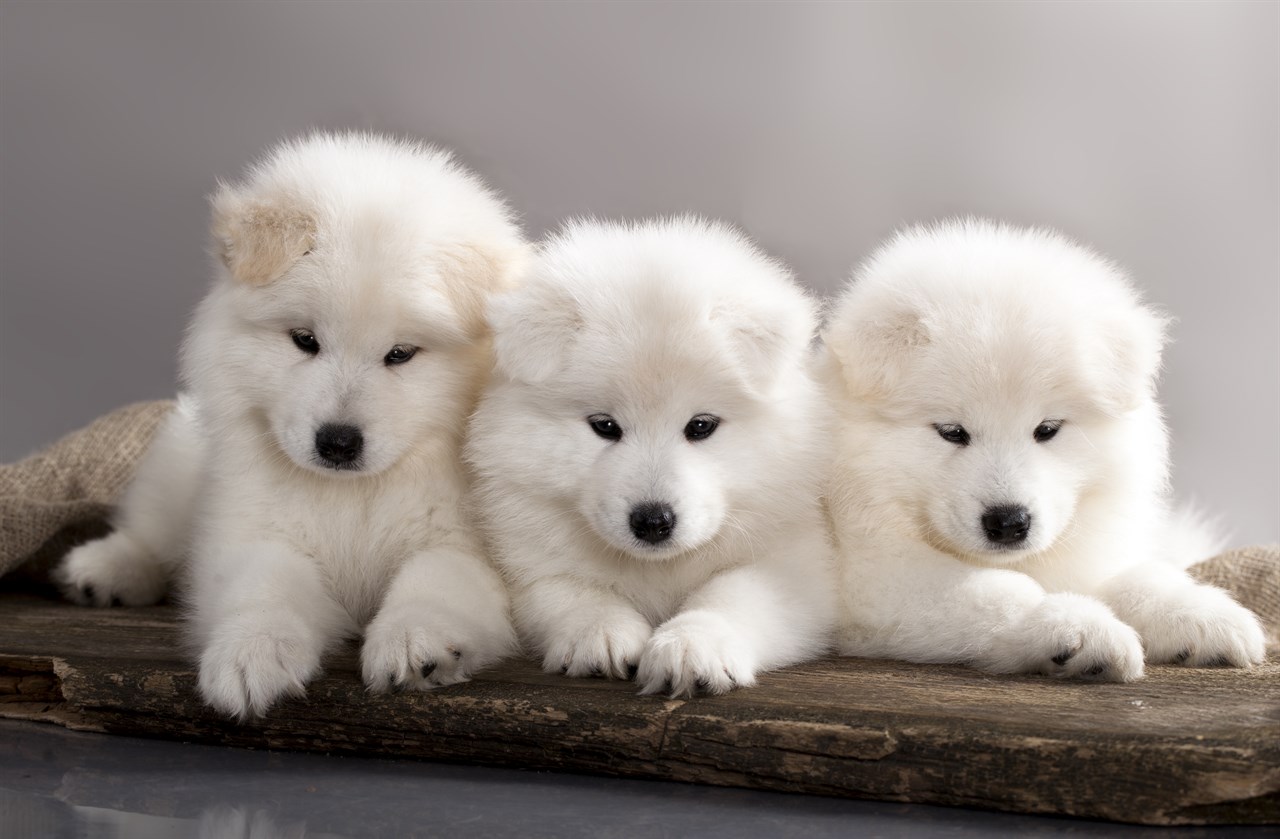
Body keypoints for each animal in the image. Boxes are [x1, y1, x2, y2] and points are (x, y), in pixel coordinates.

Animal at [55, 134, 524, 717]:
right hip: (175, 462)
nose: (338, 442)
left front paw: (415, 642)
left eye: (400, 353)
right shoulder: (255, 530)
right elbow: (265, 587)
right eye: (305, 340)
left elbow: (435, 580)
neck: (354, 495)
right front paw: (250, 654)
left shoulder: (470, 547)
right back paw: (102, 569)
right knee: (150, 534)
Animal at [465, 216, 834, 696]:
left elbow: (733, 594)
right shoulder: (527, 559)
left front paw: (692, 646)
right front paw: (601, 634)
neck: (657, 568)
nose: (653, 522)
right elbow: (569, 589)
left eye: (701, 426)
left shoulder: (794, 564)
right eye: (605, 426)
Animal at [824, 217, 1264, 681]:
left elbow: (1138, 577)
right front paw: (1077, 629)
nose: (1008, 523)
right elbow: (998, 592)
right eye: (952, 431)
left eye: (1047, 429)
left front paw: (1197, 614)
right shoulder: (873, 579)